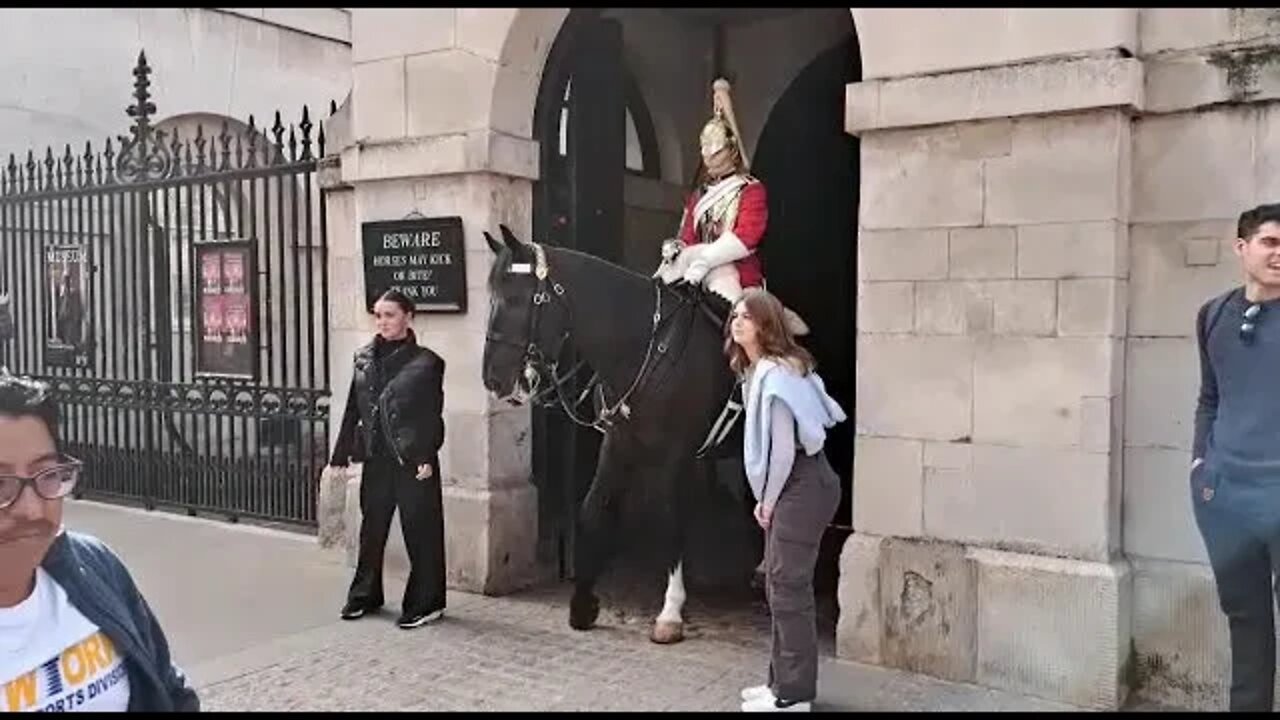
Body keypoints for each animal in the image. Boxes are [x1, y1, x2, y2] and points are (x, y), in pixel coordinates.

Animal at [481, 224, 742, 638]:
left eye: (520, 299)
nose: (493, 378)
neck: (645, 347)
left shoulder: (673, 455)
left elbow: (669, 521)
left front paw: (670, 612)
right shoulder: (618, 443)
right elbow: (592, 508)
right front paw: (583, 603)